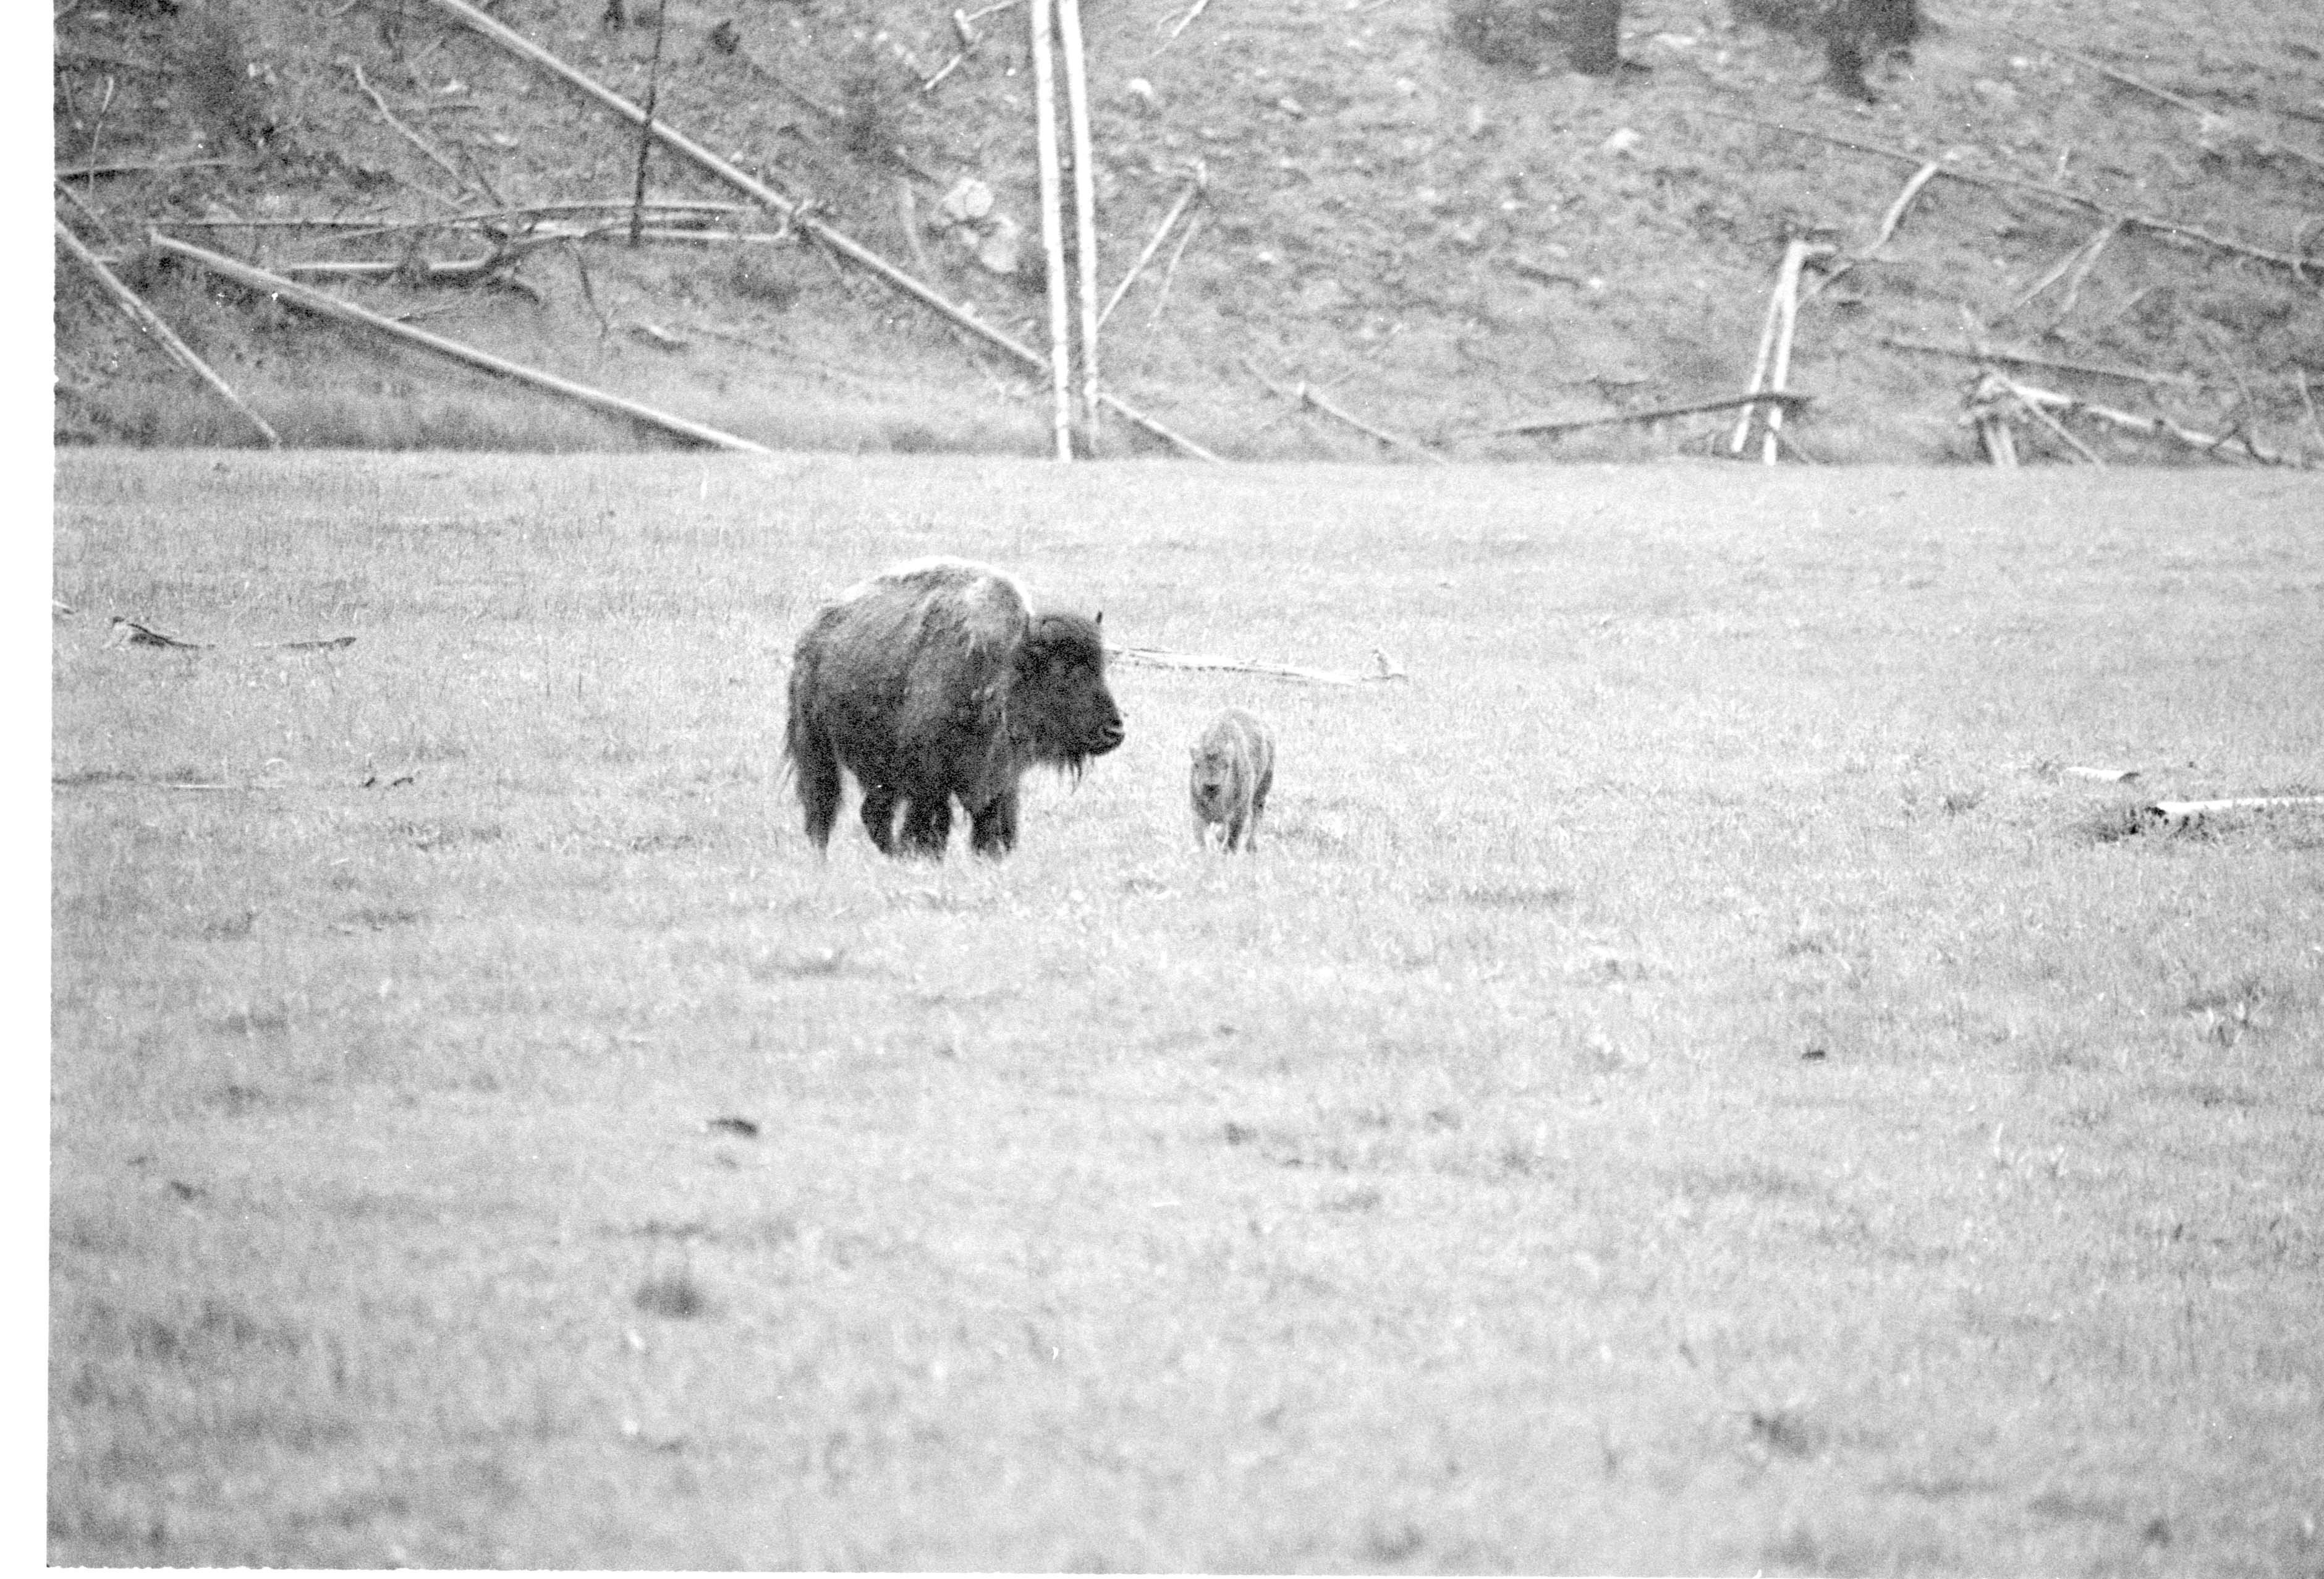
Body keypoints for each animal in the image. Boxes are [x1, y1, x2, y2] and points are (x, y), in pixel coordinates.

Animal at [784, 557, 1125, 858]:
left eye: (1101, 668)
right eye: (1065, 671)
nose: (1114, 731)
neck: (1006, 663)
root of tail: (814, 632)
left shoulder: (999, 774)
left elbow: (992, 821)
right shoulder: (929, 775)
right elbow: (933, 822)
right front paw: (923, 856)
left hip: (879, 771)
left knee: (873, 814)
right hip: (816, 747)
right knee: (823, 808)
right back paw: (823, 857)